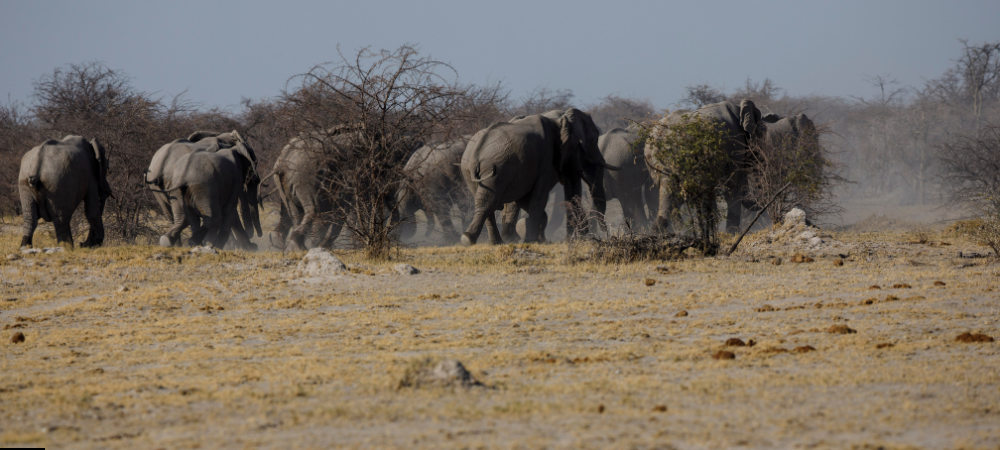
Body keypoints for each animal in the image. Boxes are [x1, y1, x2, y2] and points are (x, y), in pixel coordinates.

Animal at [458, 108, 612, 246]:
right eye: (593, 140)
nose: (604, 232)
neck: (560, 120)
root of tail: (476, 152)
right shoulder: (546, 156)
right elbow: (539, 195)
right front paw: (532, 240)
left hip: (477, 172)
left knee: (485, 202)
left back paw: (483, 241)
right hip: (497, 169)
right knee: (490, 202)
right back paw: (477, 239)